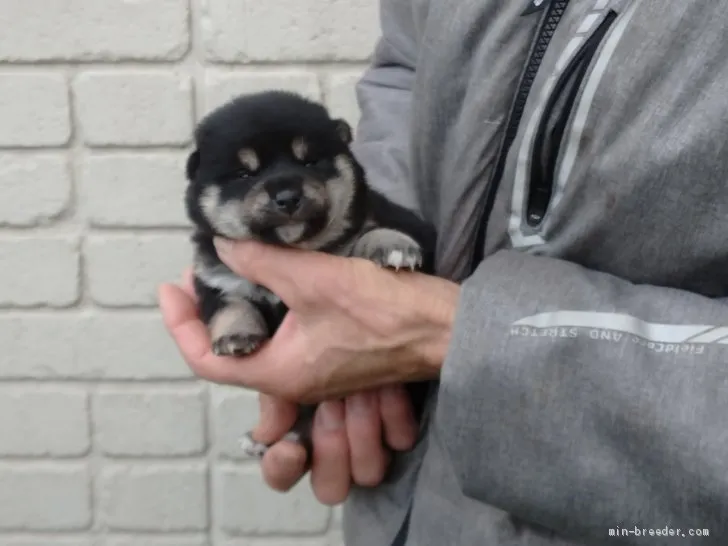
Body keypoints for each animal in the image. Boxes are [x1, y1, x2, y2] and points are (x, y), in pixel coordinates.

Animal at [185, 89, 436, 454]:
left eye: (309, 162)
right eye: (245, 174)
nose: (288, 196)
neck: (294, 247)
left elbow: (372, 229)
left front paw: (393, 246)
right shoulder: (215, 277)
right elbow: (232, 305)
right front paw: (235, 337)